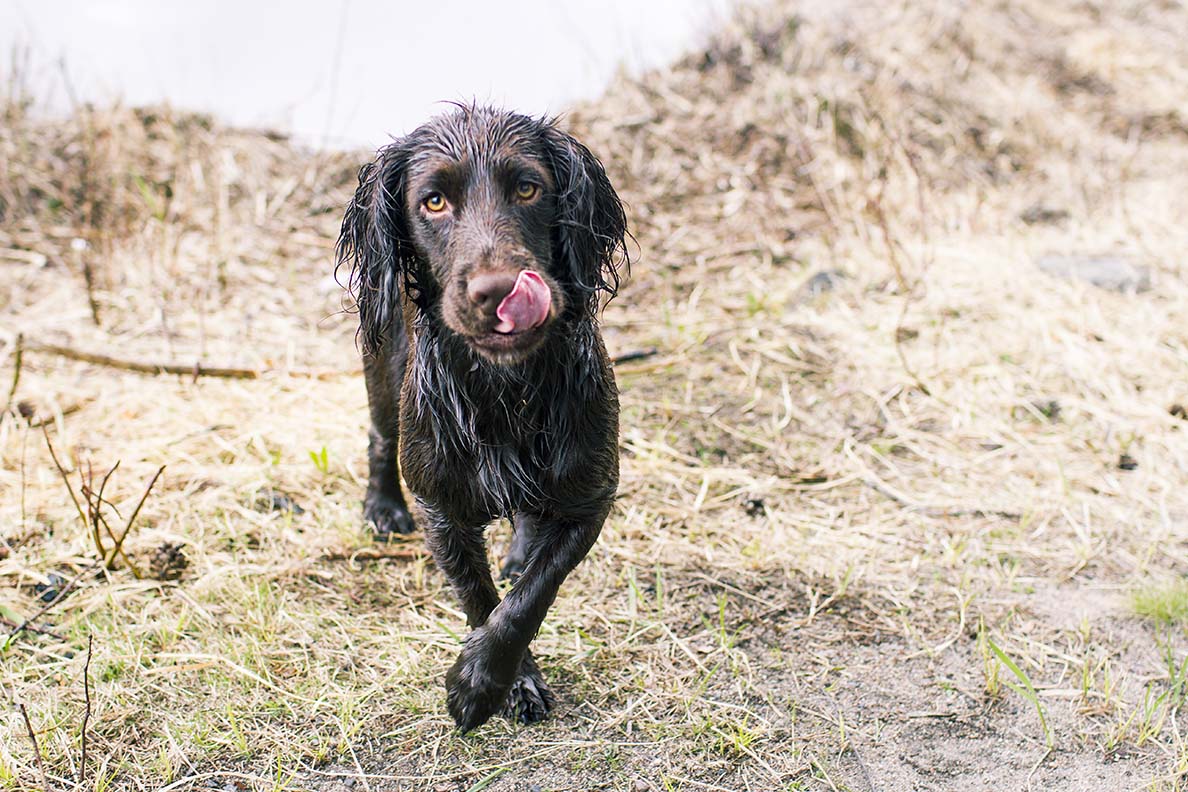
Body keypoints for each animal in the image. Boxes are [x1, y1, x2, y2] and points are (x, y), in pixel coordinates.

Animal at [335, 105, 632, 731]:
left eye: (527, 188)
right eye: (433, 201)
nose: (499, 293)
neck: (505, 388)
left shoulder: (590, 498)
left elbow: (531, 596)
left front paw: (481, 679)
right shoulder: (441, 508)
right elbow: (478, 597)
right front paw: (497, 684)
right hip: (384, 376)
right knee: (379, 437)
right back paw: (382, 508)